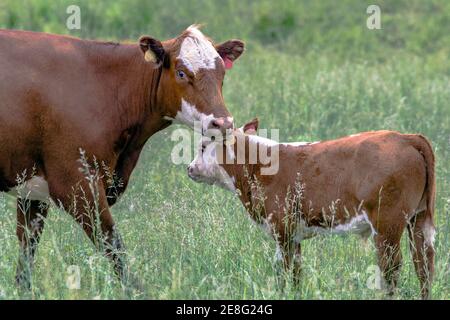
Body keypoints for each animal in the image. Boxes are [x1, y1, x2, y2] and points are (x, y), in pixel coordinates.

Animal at [0, 25, 246, 290]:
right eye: (181, 73)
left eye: (222, 74)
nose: (223, 123)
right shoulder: (75, 183)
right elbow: (113, 245)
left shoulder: (33, 189)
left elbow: (27, 248)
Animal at [187, 119, 436, 298]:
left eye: (203, 146)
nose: (190, 168)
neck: (257, 166)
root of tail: (405, 137)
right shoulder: (294, 234)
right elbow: (297, 271)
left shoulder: (282, 228)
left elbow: (282, 269)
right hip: (419, 218)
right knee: (423, 263)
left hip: (387, 225)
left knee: (392, 266)